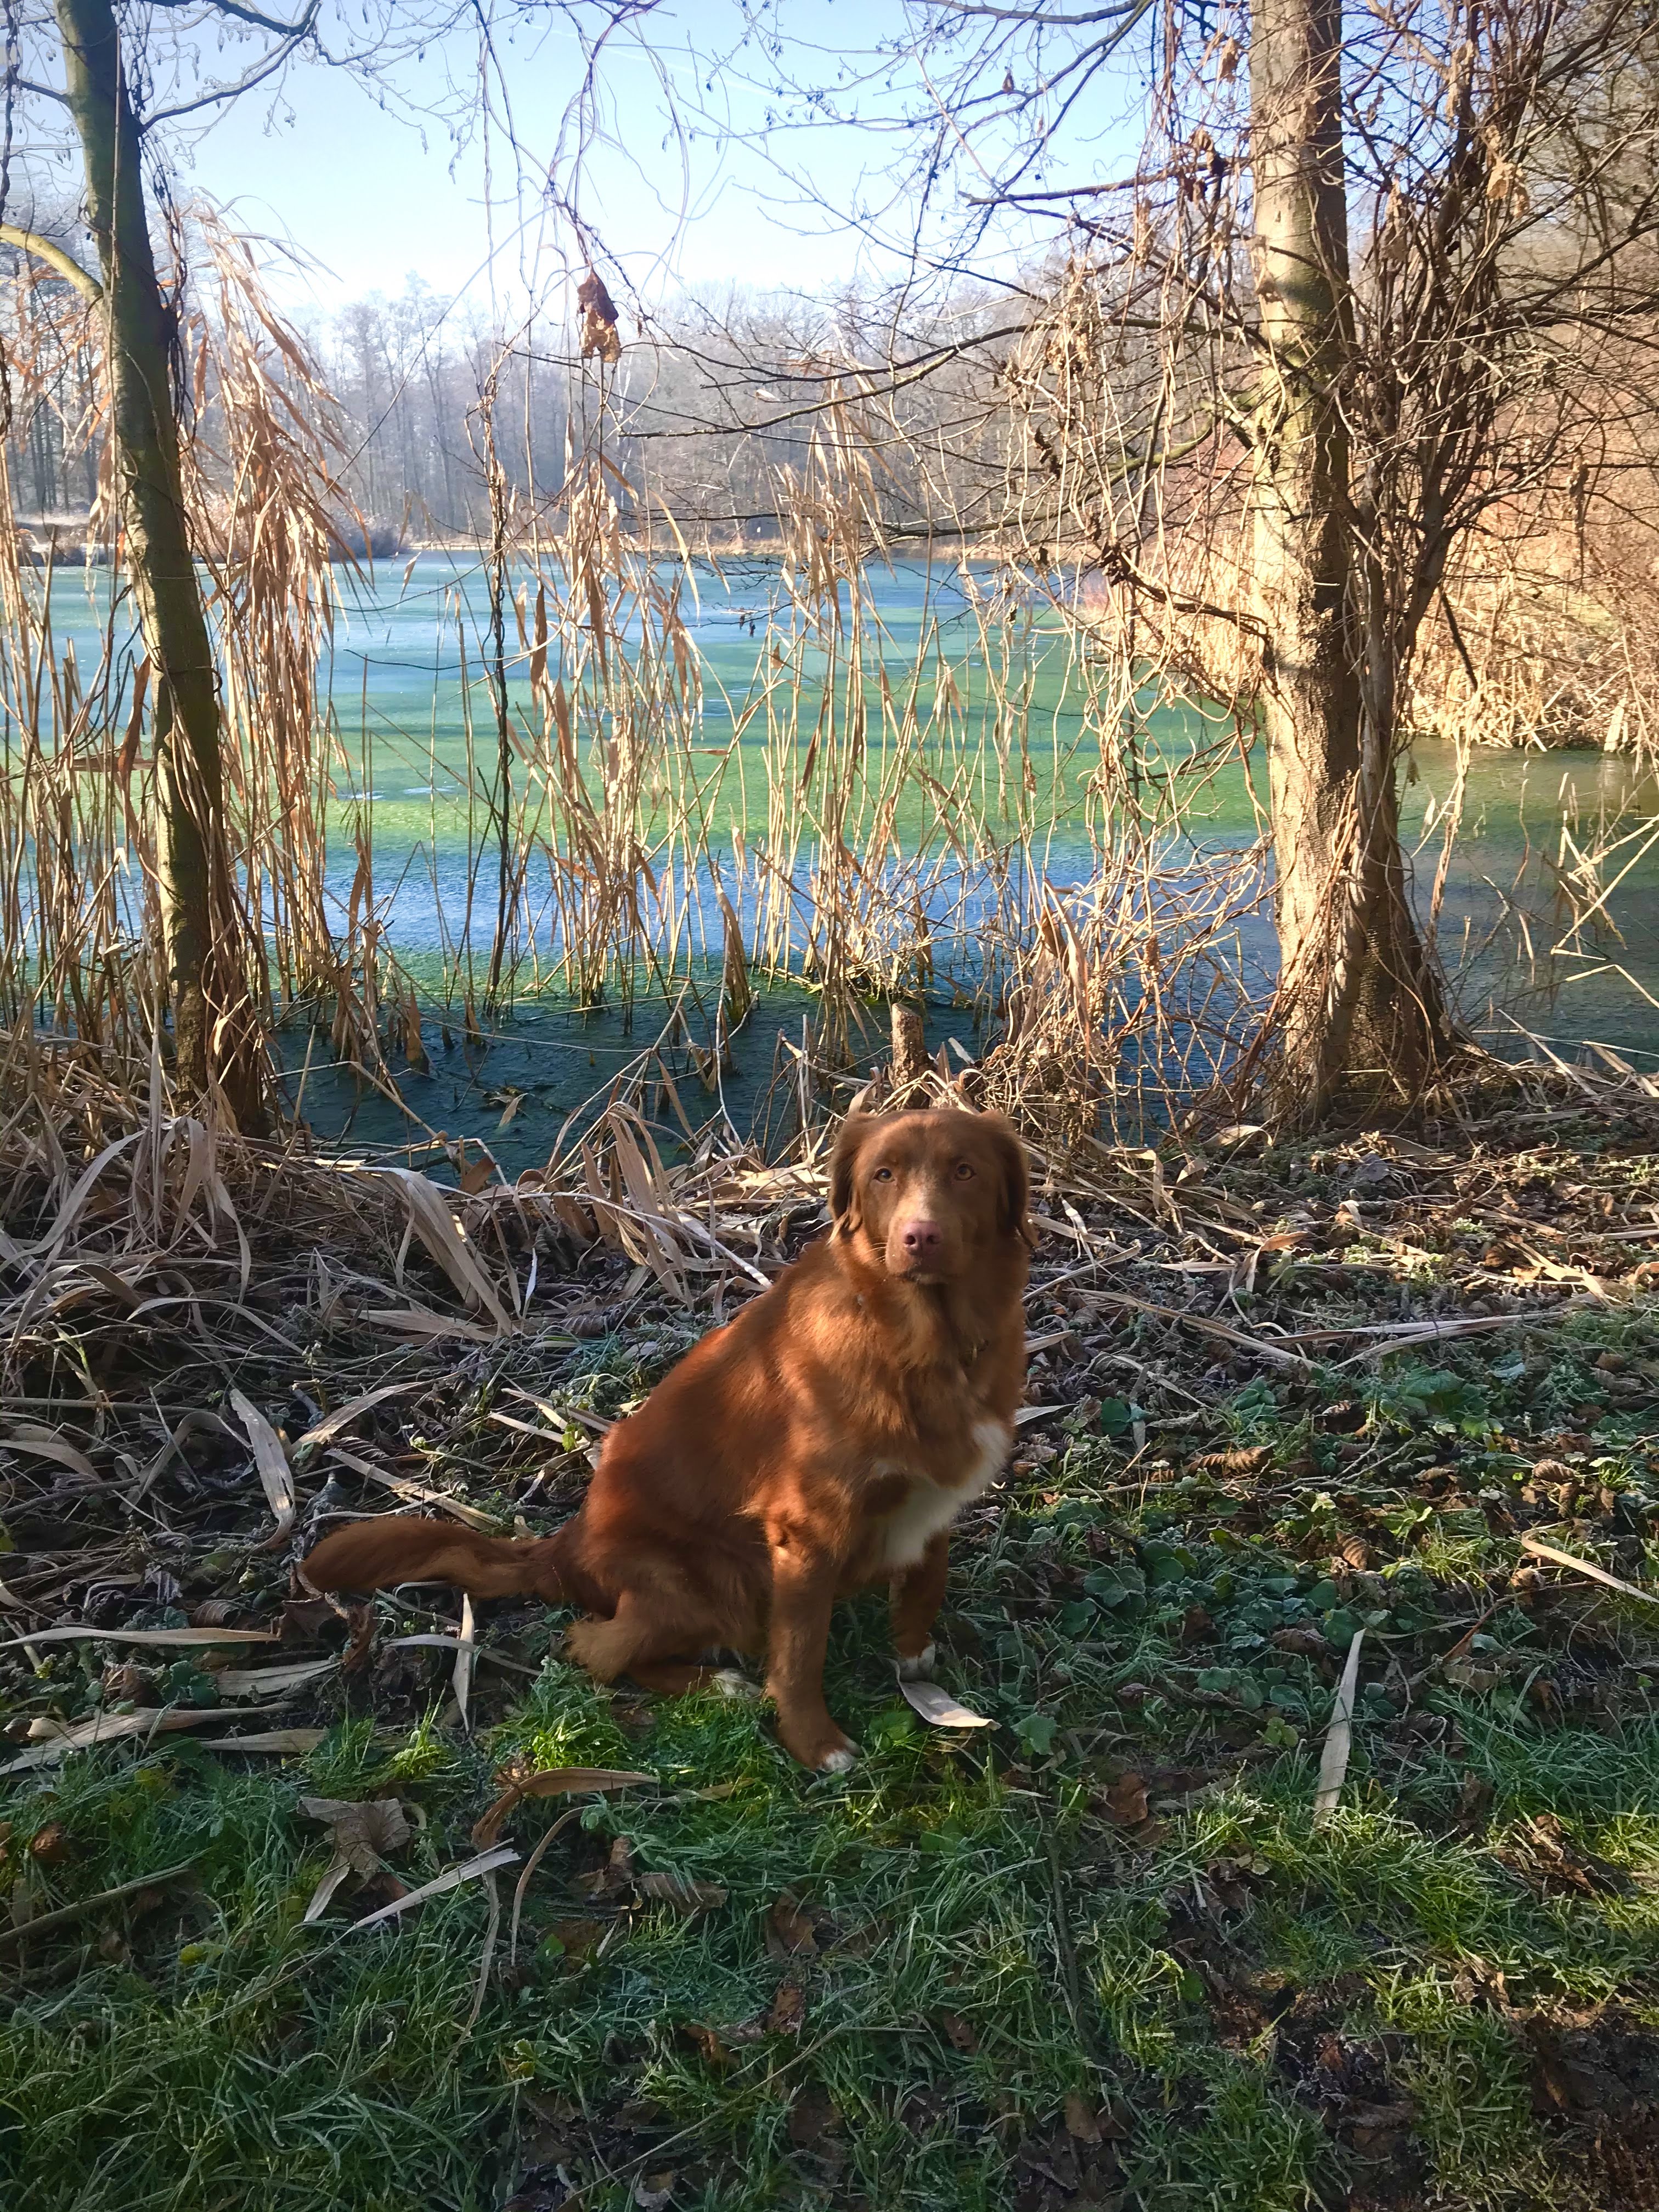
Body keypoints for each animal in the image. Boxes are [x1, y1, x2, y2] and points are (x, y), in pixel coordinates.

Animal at [304, 1107, 1031, 1770]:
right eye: (884, 1175)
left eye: (965, 1171)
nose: (920, 1237)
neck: (919, 1343)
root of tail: (565, 1548)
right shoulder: (806, 1530)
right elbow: (801, 1651)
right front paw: (814, 1742)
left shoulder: (935, 1491)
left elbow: (929, 1574)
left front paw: (913, 1658)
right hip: (708, 1581)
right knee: (594, 1649)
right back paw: (721, 1686)